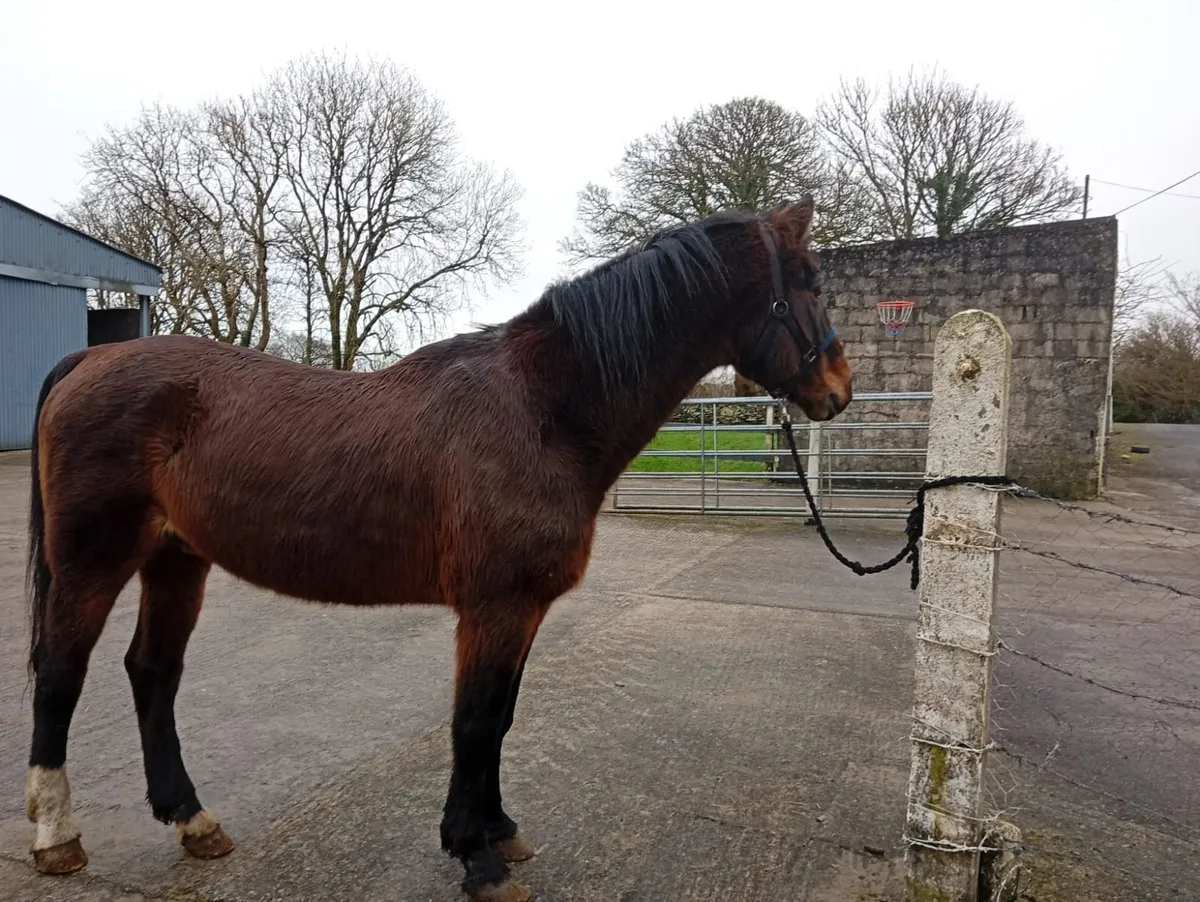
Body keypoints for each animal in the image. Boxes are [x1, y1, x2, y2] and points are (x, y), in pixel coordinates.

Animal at [22, 195, 851, 902]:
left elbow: (502, 718)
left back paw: (193, 820)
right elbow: (474, 723)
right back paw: (57, 836)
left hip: (176, 558)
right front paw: (476, 858)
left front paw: (498, 832)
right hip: (92, 561)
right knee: (61, 675)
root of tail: (88, 361)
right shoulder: (494, 607)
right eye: (810, 283)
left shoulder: (523, 609)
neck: (541, 410)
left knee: (152, 674)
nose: (840, 389)